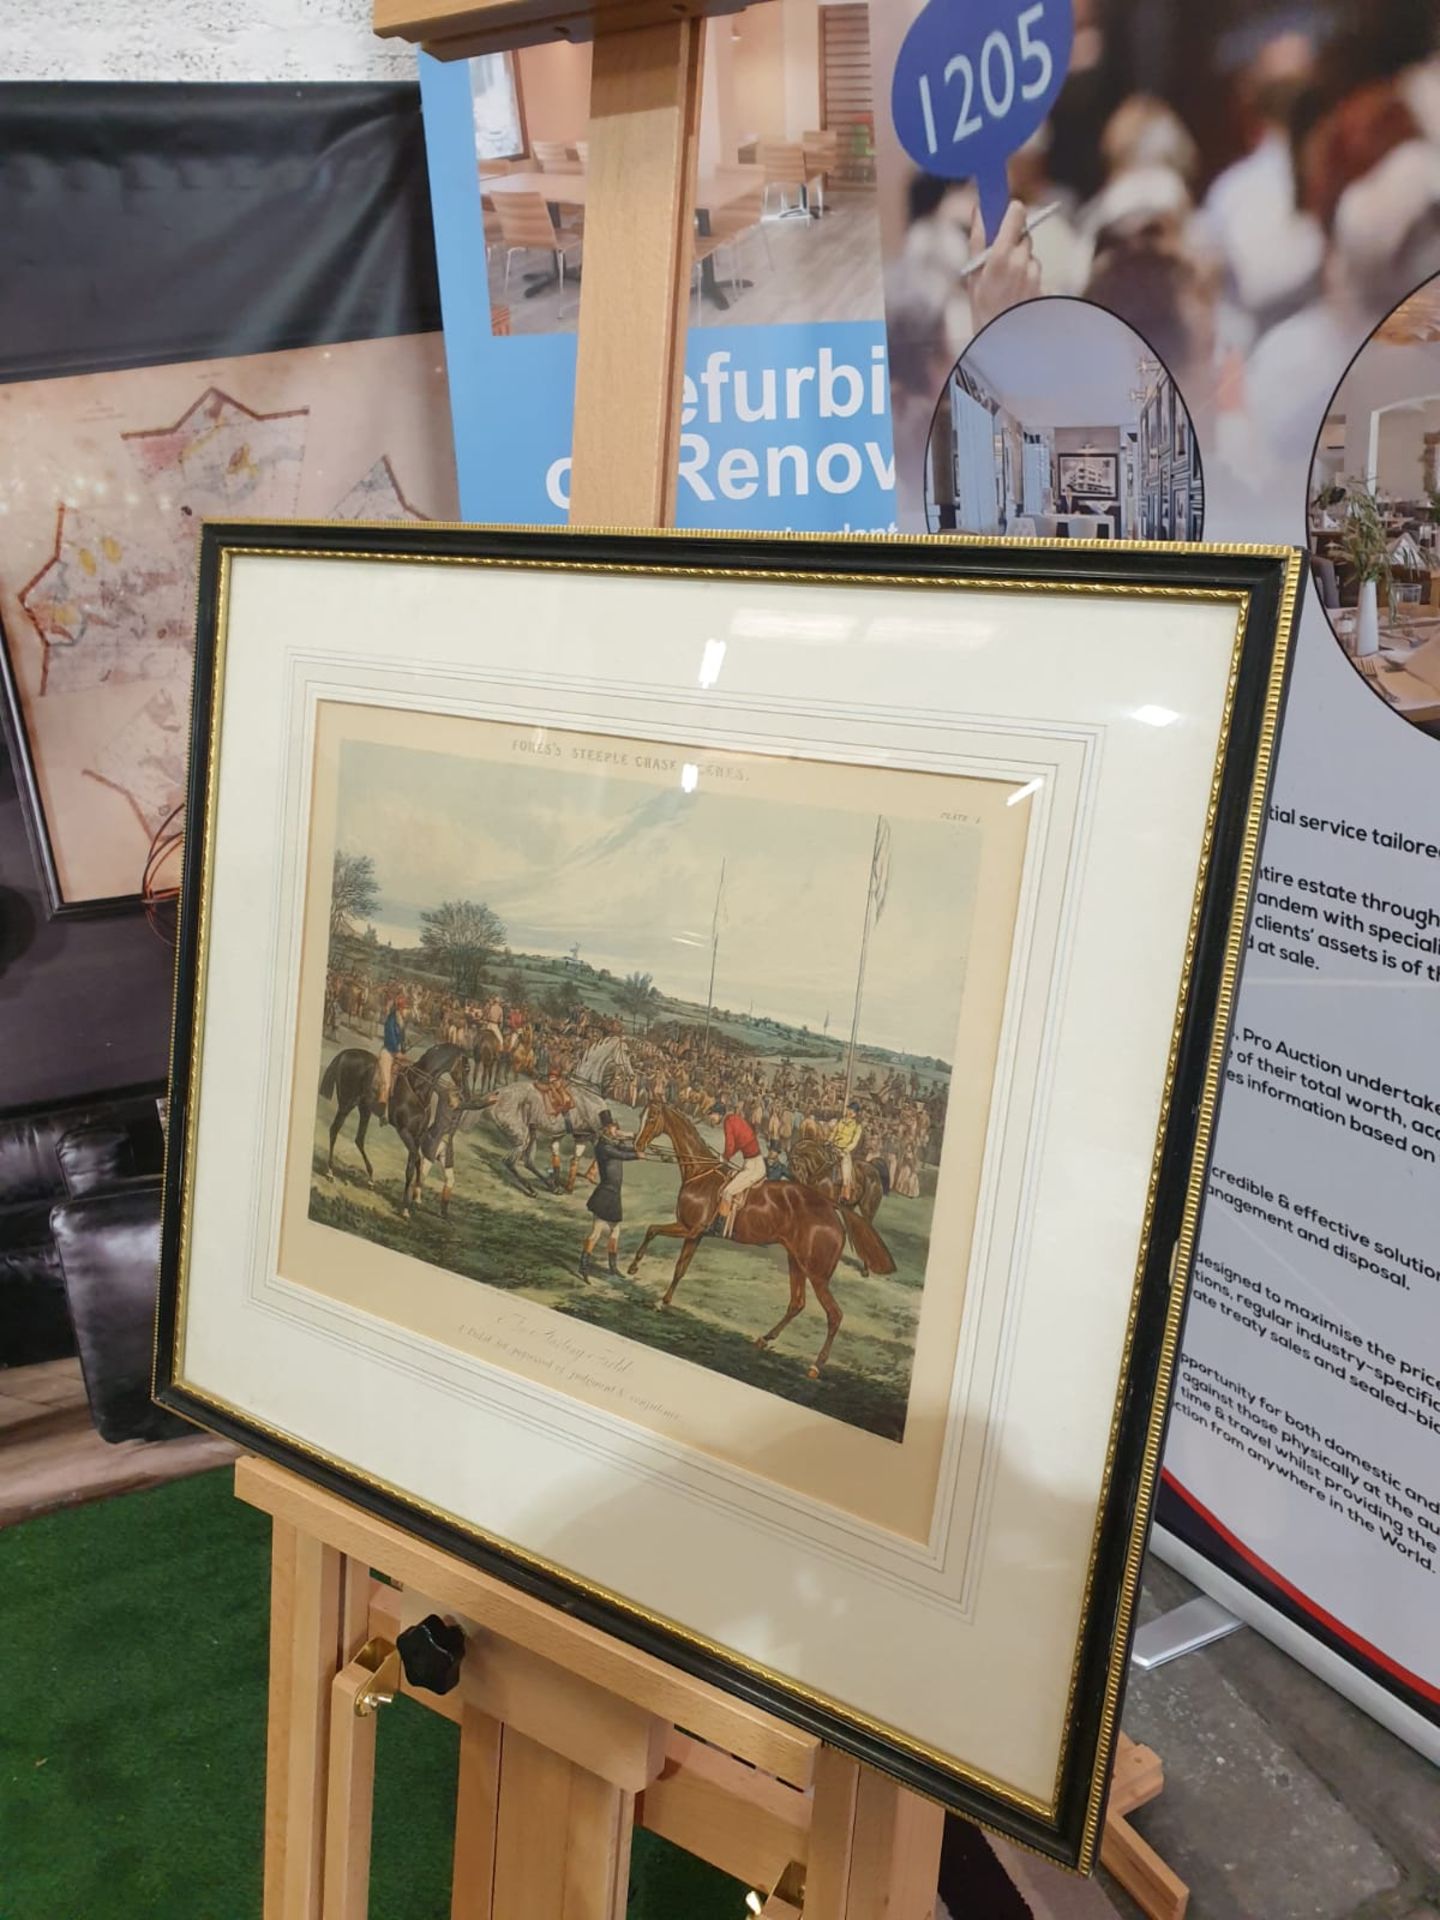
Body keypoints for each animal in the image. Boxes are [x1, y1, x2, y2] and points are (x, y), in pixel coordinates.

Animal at [629, 1098, 890, 1382]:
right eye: (641, 1116)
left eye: (651, 1118)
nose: (637, 1146)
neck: (702, 1171)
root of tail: (831, 1208)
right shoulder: (695, 1235)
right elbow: (678, 1267)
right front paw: (661, 1300)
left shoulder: (689, 1229)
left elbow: (653, 1230)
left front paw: (634, 1268)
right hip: (796, 1262)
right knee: (797, 1303)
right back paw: (764, 1339)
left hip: (818, 1274)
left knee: (835, 1315)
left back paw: (816, 1365)